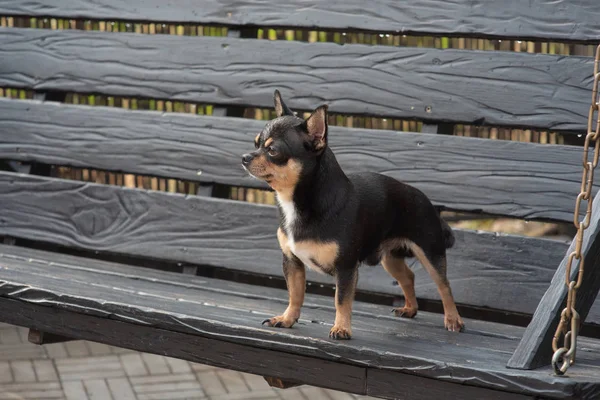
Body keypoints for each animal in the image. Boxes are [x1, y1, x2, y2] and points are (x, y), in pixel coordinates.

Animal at [241, 89, 466, 340]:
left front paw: (341, 328)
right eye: (255, 144)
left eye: (273, 151)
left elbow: (342, 299)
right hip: (390, 258)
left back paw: (453, 319)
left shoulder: (346, 268)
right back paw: (410, 308)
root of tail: (423, 198)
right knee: (408, 276)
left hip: (429, 251)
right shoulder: (292, 262)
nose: (245, 157)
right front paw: (287, 318)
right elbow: (295, 293)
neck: (297, 202)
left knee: (444, 285)